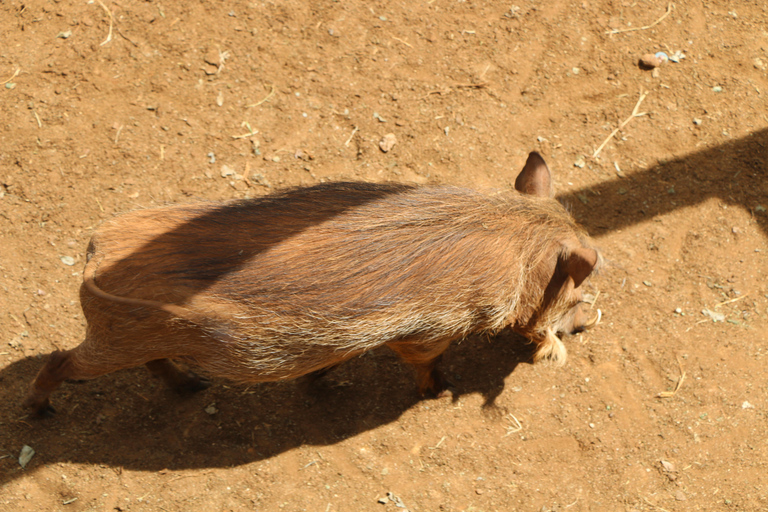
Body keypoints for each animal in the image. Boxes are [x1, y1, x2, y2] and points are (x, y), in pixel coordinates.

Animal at [24, 152, 600, 416]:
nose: (588, 321)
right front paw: (439, 394)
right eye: (575, 287)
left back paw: (194, 388)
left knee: (154, 364)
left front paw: (319, 380)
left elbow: (337, 358)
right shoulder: (426, 334)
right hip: (110, 340)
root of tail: (94, 251)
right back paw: (40, 412)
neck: (517, 245)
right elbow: (424, 366)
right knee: (59, 361)